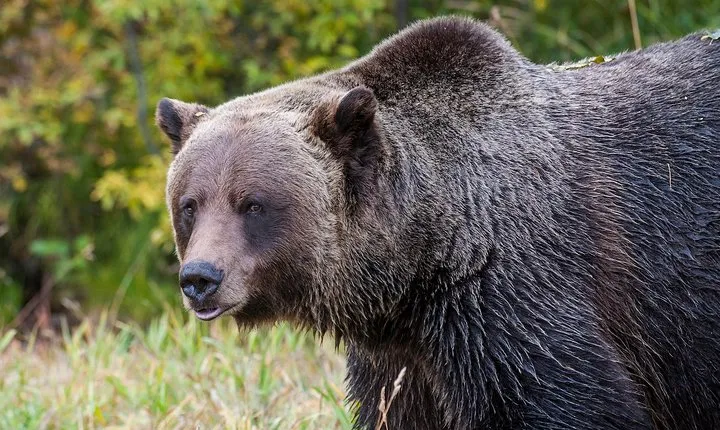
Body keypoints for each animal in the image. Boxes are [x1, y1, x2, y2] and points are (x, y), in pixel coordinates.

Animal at [155, 16, 720, 430]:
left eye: (252, 203)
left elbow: (567, 400)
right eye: (190, 204)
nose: (200, 278)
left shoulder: (514, 300)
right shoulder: (402, 359)